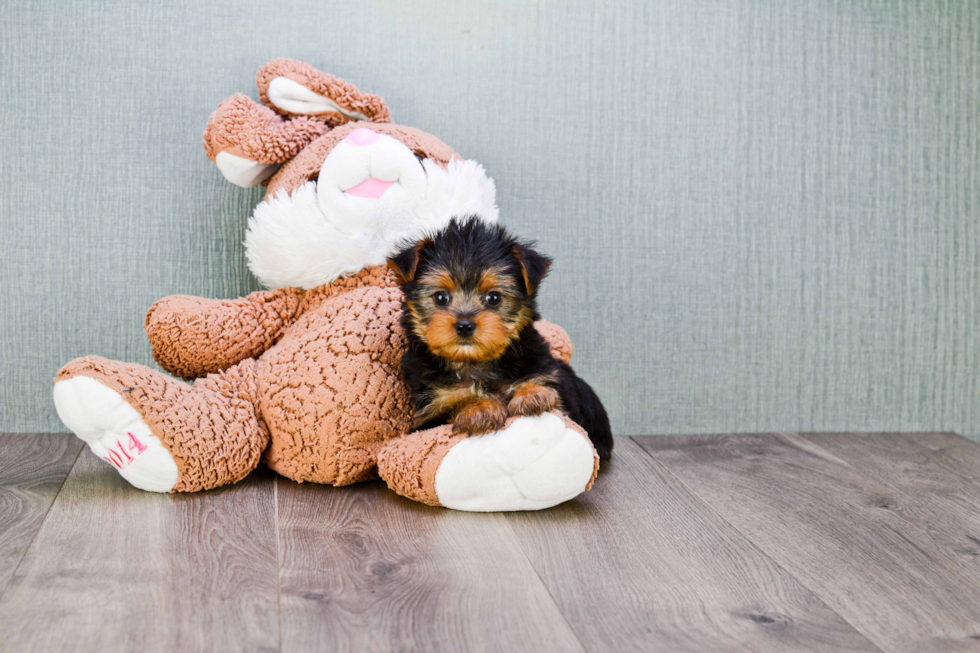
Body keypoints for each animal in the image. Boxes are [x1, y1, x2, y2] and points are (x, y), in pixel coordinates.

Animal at [384, 215, 608, 458]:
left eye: (494, 297)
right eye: (441, 297)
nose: (464, 325)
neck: (474, 363)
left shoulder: (552, 378)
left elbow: (546, 388)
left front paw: (532, 393)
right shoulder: (428, 415)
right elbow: (452, 405)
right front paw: (479, 407)